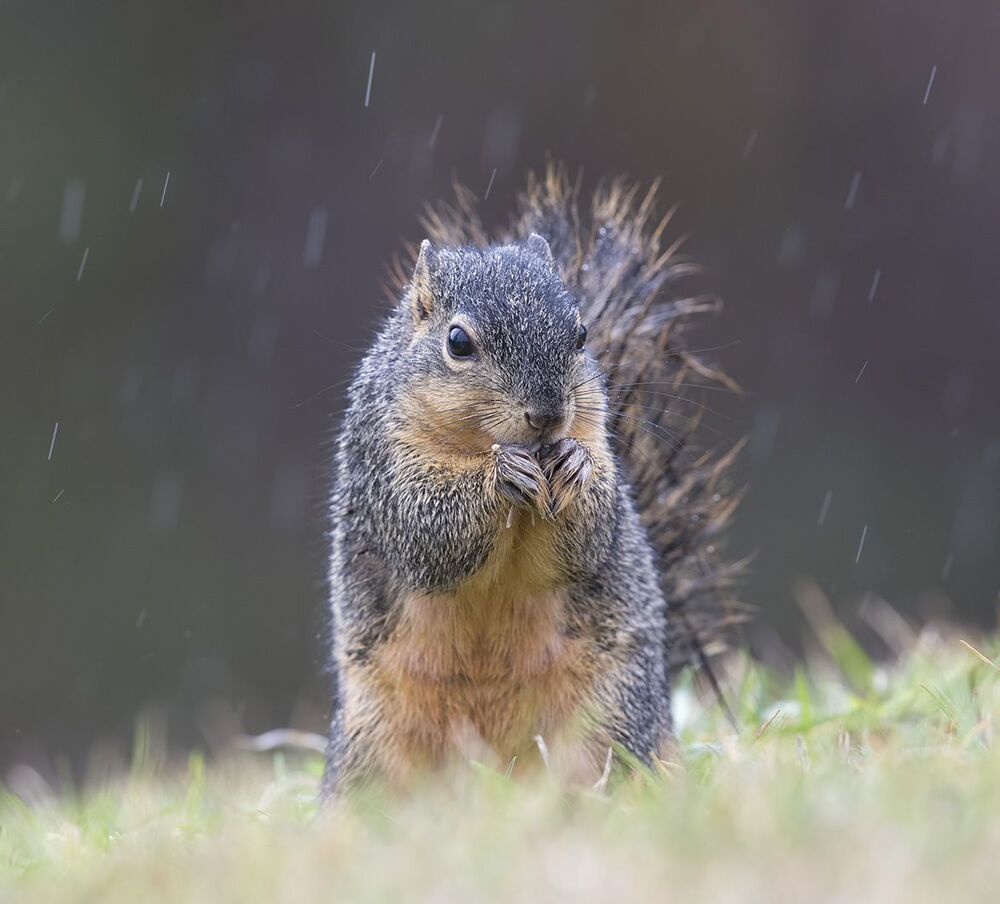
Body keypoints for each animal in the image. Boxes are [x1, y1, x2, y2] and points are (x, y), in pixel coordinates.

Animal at [322, 166, 742, 796]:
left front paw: (573, 468)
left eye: (582, 333)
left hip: (611, 716)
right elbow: (424, 530)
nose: (547, 414)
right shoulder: (381, 463)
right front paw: (500, 477)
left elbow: (588, 537)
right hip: (370, 744)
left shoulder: (598, 438)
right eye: (458, 342)